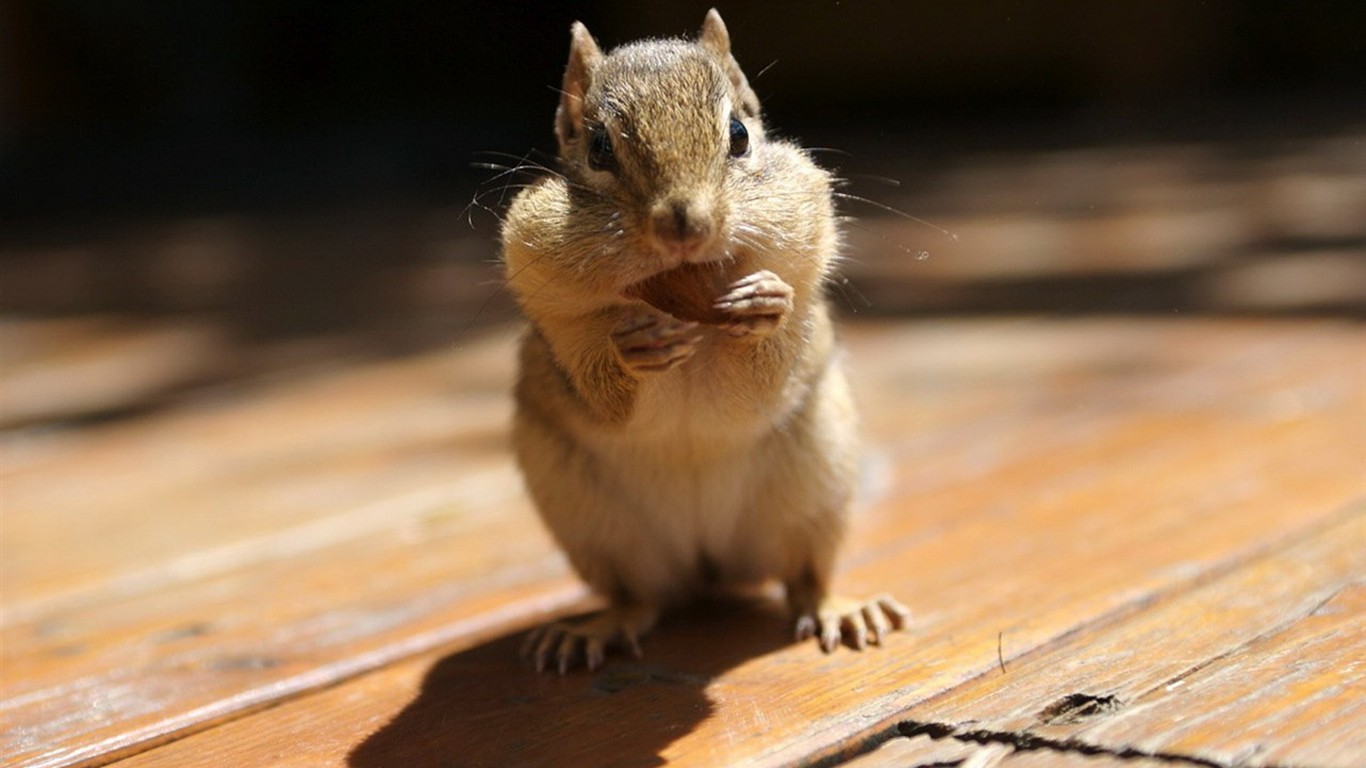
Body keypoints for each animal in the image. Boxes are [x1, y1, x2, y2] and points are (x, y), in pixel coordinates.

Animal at [501, 8, 909, 674]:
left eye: (739, 134)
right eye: (598, 147)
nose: (684, 226)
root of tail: (709, 566)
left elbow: (758, 388)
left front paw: (767, 303)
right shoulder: (552, 314)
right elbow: (602, 393)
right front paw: (629, 351)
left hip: (814, 492)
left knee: (804, 578)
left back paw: (840, 608)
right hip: (600, 529)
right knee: (641, 599)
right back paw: (595, 628)